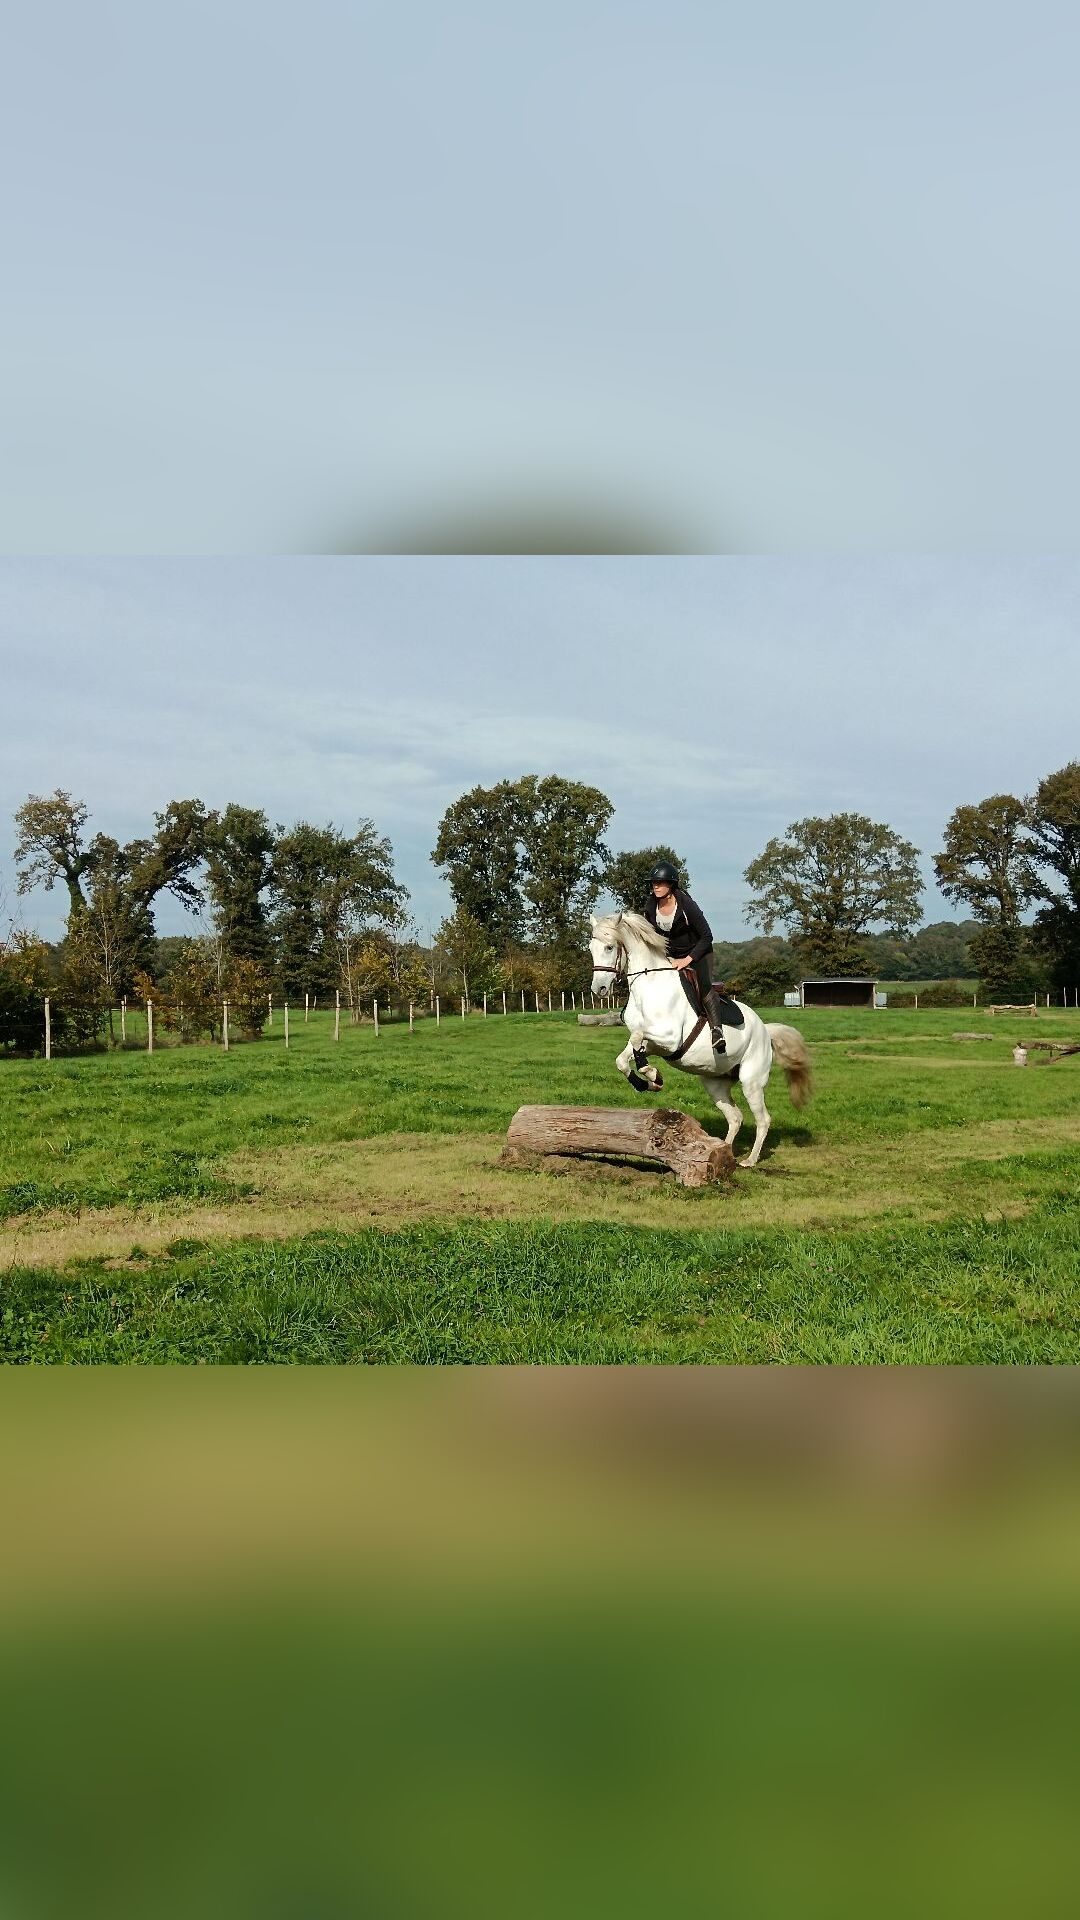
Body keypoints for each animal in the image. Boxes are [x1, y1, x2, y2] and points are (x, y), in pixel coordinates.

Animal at [587, 910, 812, 1168]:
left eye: (609, 947)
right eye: (590, 948)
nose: (599, 989)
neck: (649, 987)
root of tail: (765, 1029)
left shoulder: (669, 1039)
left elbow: (636, 1039)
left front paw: (652, 1075)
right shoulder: (653, 1044)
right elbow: (624, 1057)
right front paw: (649, 1082)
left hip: (751, 1081)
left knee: (763, 1119)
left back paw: (750, 1160)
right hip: (715, 1083)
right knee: (735, 1117)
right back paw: (724, 1152)